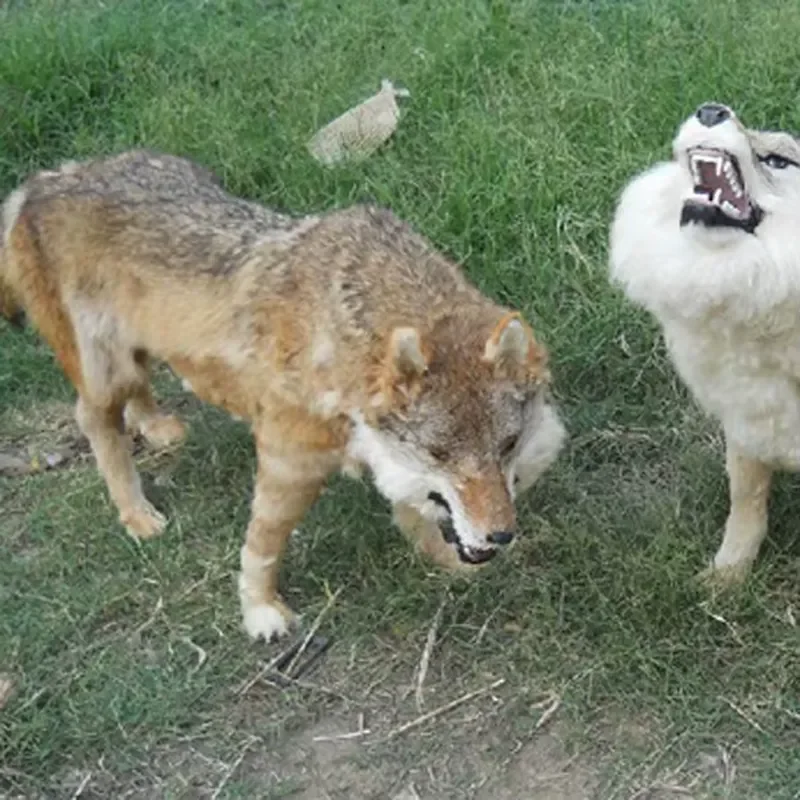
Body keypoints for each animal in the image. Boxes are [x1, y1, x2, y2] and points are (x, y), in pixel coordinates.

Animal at [0, 150, 566, 640]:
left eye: (507, 446)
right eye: (440, 453)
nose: (501, 535)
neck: (342, 335)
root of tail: (42, 181)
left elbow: (413, 510)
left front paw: (444, 560)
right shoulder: (288, 465)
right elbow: (262, 547)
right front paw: (260, 611)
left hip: (135, 355)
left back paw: (156, 426)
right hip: (106, 376)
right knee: (96, 424)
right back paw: (136, 513)